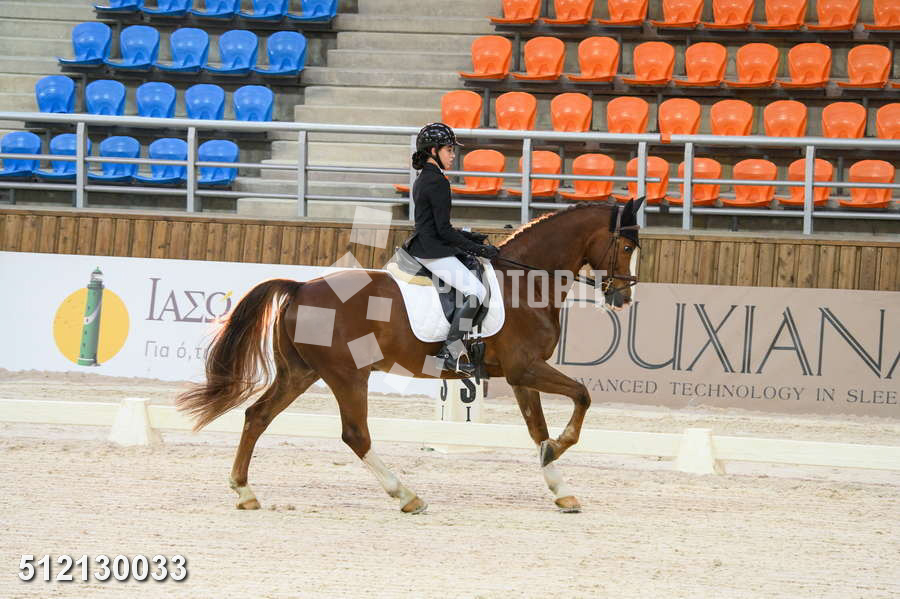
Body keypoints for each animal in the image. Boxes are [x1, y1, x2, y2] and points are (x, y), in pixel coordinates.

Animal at [176, 198, 642, 514]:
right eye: (625, 247)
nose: (623, 298)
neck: (526, 283)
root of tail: (301, 287)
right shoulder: (526, 368)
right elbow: (581, 396)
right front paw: (558, 451)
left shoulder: (519, 374)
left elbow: (537, 429)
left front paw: (560, 486)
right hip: (347, 375)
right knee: (355, 435)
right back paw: (407, 495)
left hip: (301, 372)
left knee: (258, 416)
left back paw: (244, 491)